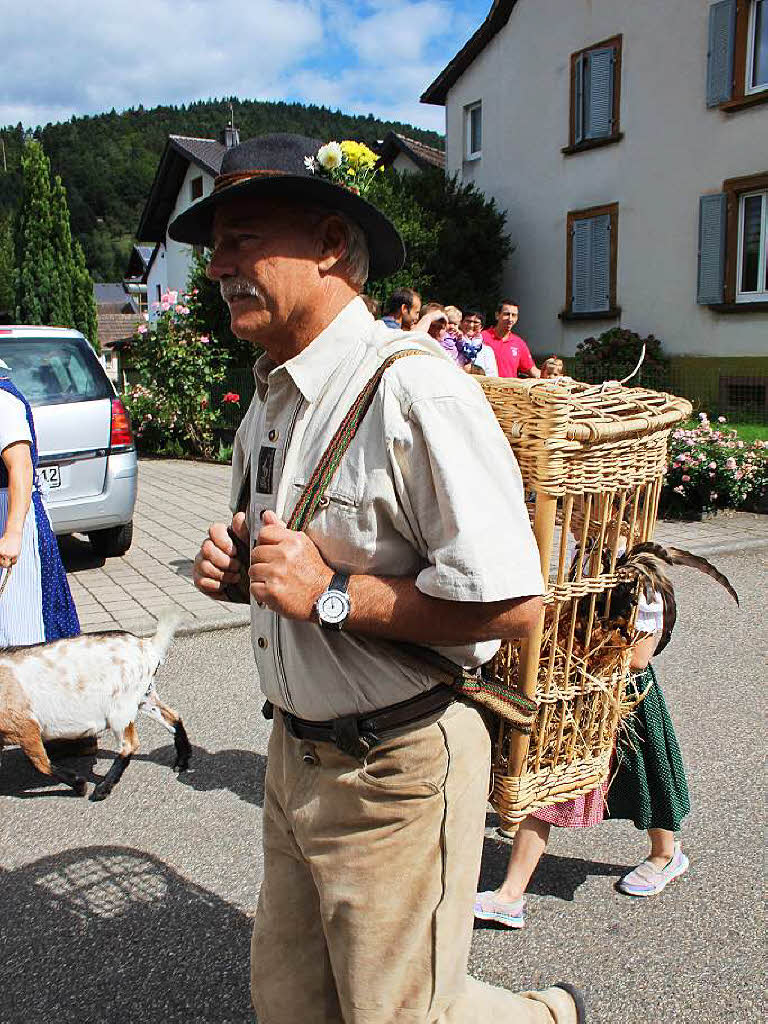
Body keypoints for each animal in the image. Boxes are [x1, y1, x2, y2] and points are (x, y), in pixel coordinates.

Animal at [0, 606, 191, 798]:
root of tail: (146, 645)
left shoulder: (25, 726)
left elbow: (42, 764)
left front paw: (80, 785)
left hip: (120, 709)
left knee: (129, 745)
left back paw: (103, 788)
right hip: (145, 697)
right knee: (172, 717)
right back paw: (182, 761)